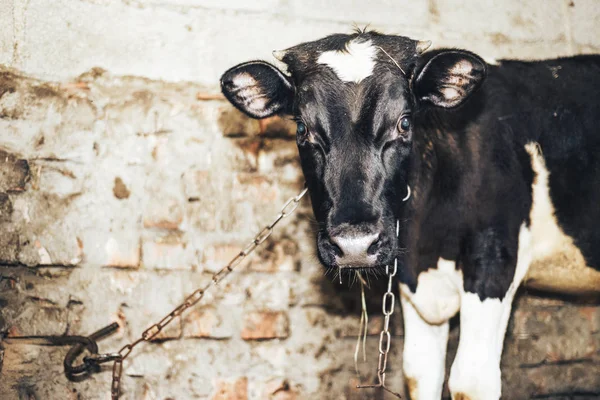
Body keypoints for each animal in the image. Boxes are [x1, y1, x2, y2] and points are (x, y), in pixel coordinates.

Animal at [220, 32, 600, 400]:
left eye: (404, 123)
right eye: (301, 129)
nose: (355, 245)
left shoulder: (495, 260)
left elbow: (471, 381)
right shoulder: (411, 280)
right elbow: (420, 373)